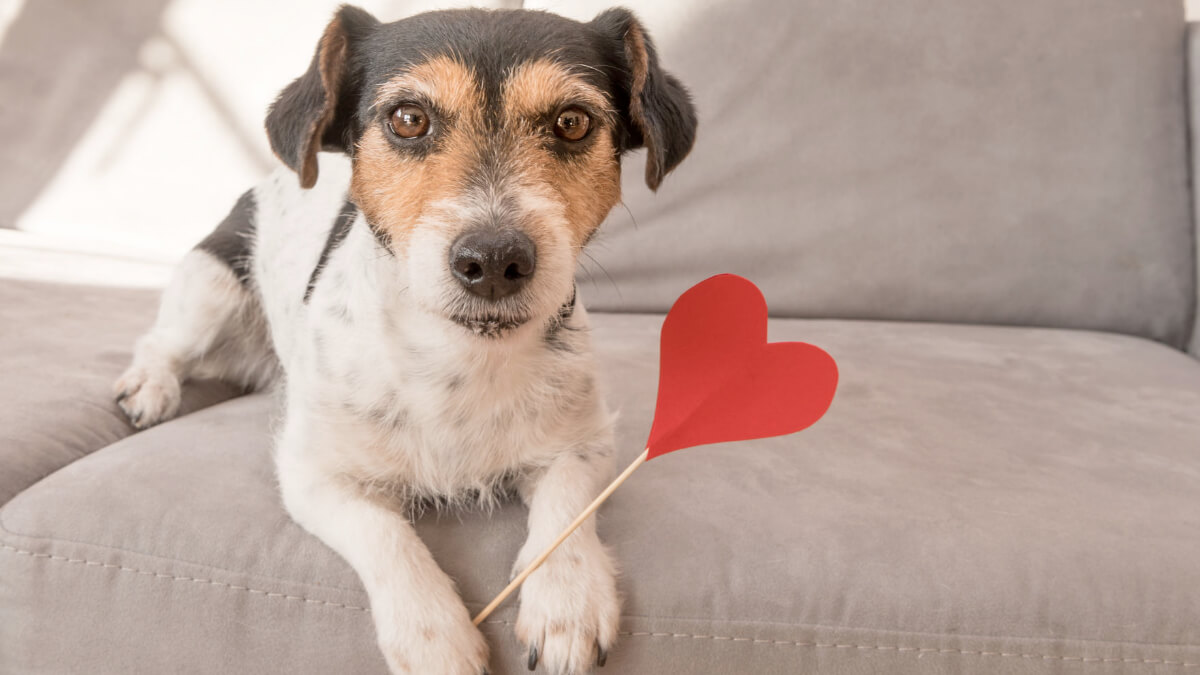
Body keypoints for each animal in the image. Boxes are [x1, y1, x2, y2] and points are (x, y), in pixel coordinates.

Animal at [114, 6, 696, 672]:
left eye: (572, 122)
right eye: (408, 118)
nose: (492, 260)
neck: (461, 354)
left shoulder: (586, 443)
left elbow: (568, 505)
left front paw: (566, 599)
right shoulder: (314, 476)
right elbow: (387, 535)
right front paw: (434, 635)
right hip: (211, 283)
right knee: (162, 340)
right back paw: (149, 387)